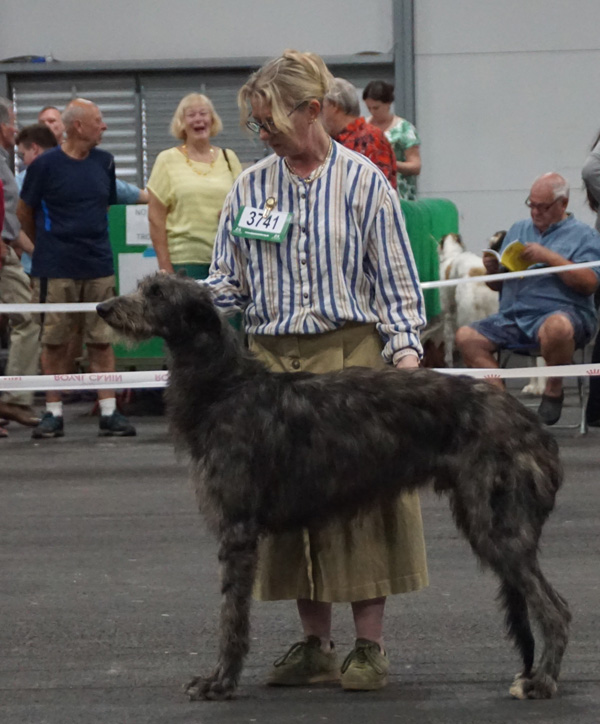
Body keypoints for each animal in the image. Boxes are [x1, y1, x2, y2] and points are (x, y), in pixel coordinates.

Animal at [96, 272, 568, 700]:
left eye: (157, 293)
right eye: (142, 285)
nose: (103, 308)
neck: (226, 388)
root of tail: (533, 427)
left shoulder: (237, 530)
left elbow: (232, 615)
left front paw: (219, 681)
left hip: (498, 524)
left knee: (556, 609)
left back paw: (542, 681)